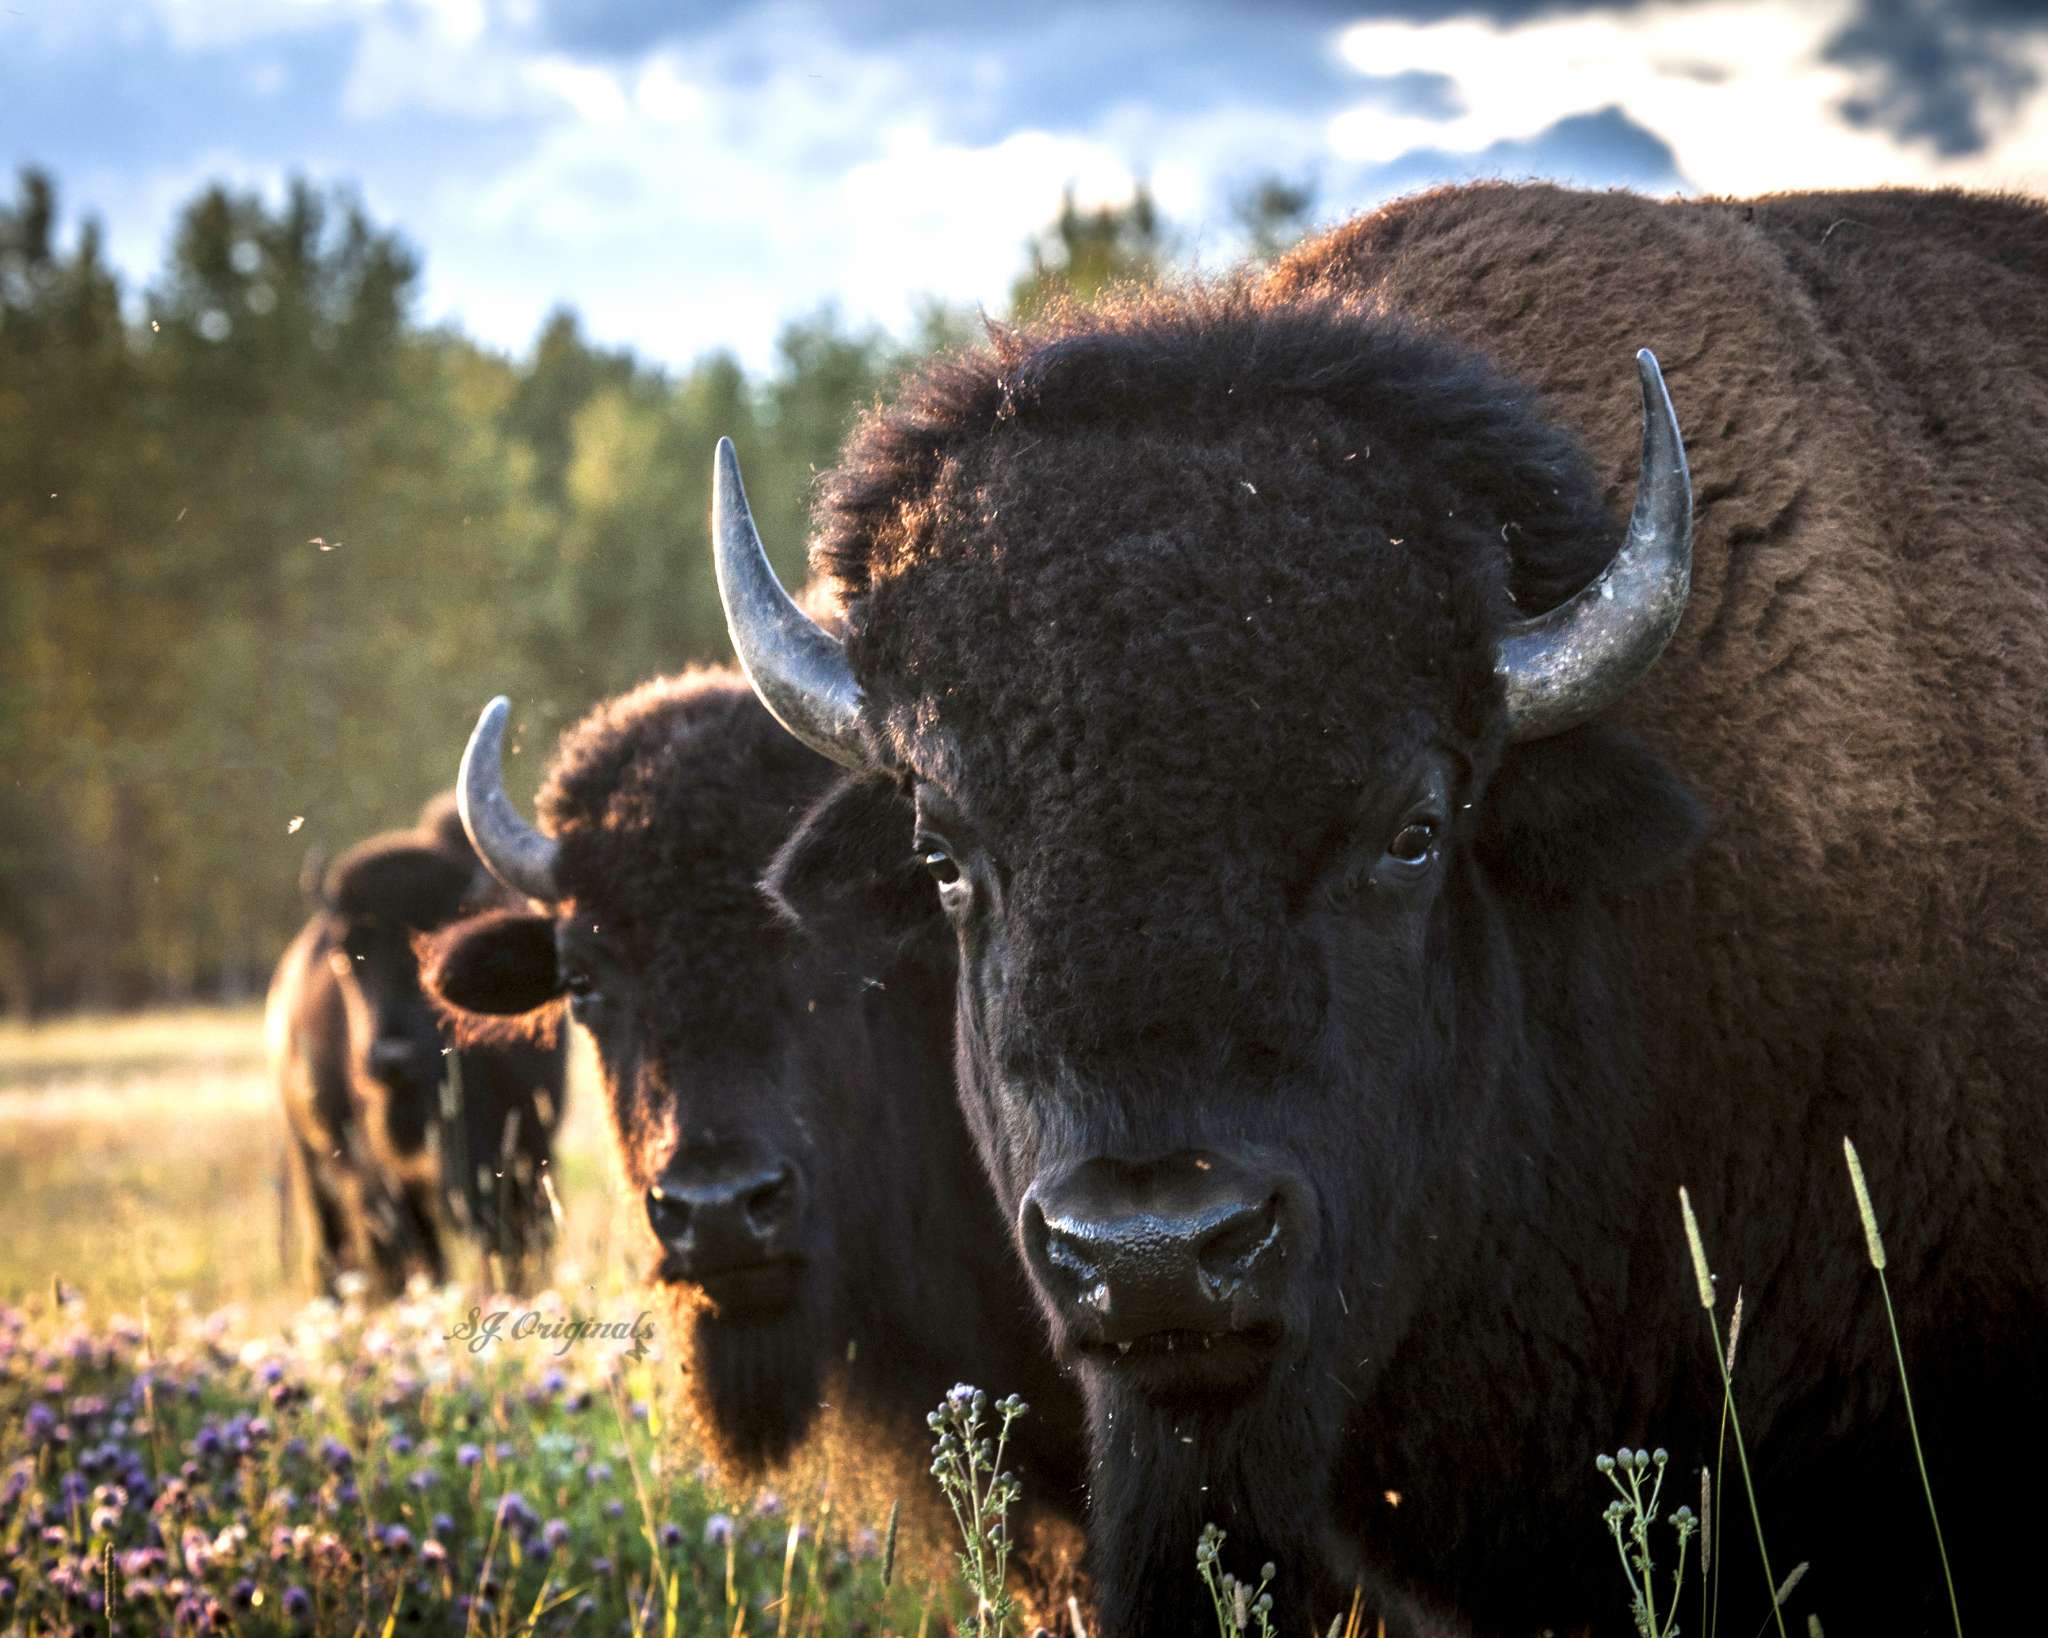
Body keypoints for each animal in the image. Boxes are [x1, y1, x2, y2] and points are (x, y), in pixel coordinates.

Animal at [268, 786, 569, 1302]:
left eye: (433, 946)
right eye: (346, 952)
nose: (391, 1060)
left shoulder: (525, 1151)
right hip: (311, 1159)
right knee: (338, 1248)